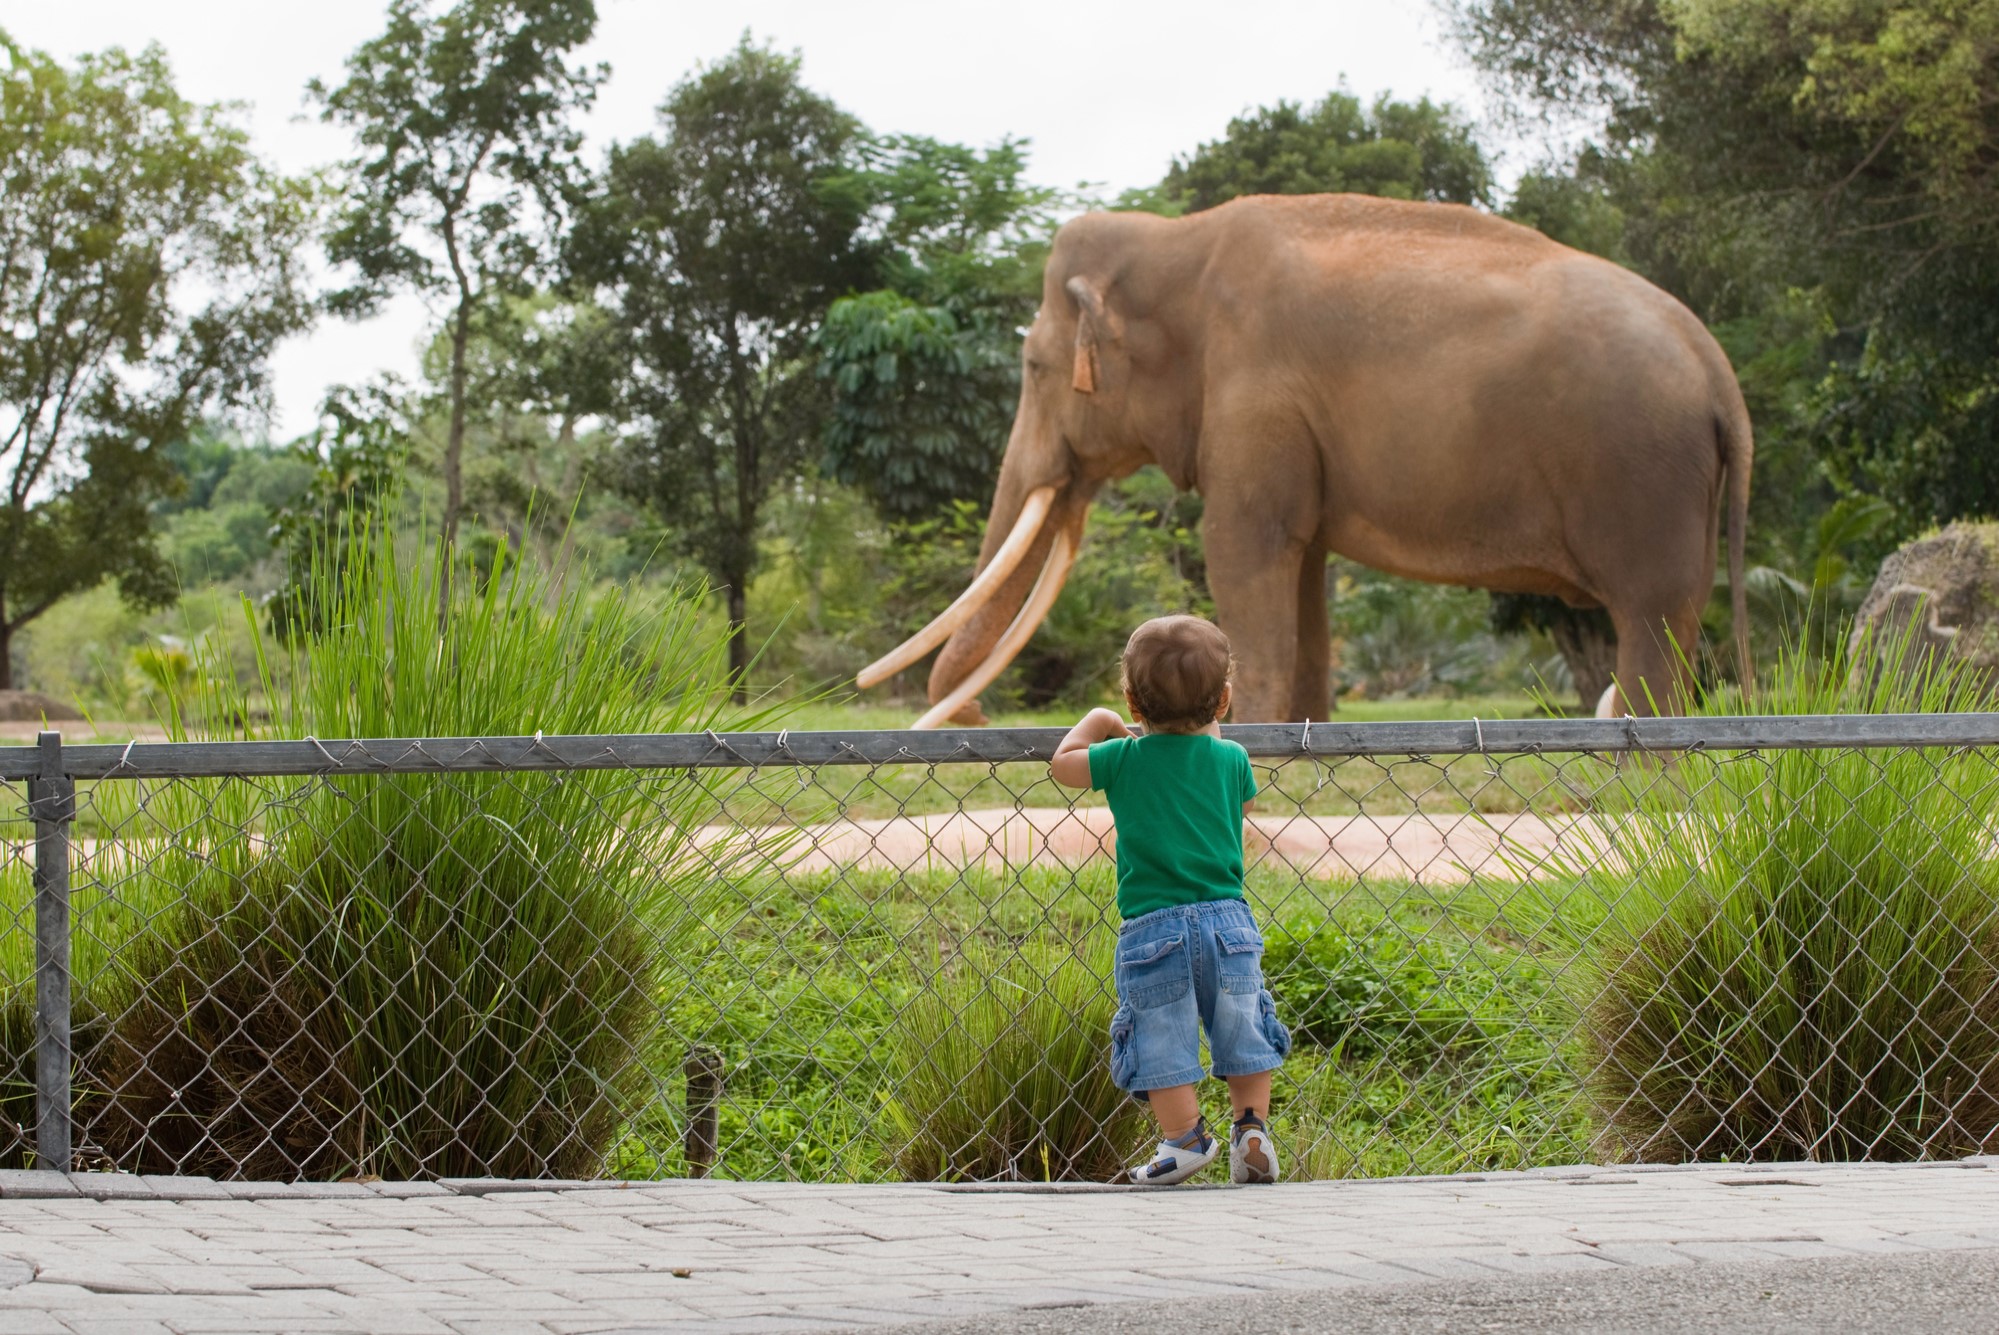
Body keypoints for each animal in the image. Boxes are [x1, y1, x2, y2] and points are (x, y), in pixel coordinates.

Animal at [859, 192, 1751, 723]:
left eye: (1034, 368)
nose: (972, 717)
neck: (1176, 240)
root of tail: (1720, 375)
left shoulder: (1255, 396)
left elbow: (1241, 550)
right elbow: (1304, 573)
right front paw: (1306, 743)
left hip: (1642, 477)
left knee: (1649, 616)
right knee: (1675, 617)